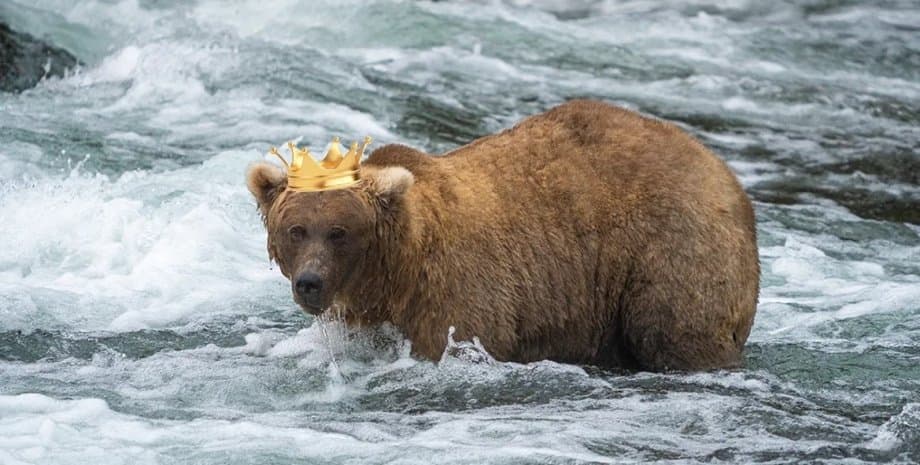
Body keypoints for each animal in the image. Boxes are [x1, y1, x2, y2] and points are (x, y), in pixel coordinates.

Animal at [248, 100, 760, 370]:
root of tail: (723, 170)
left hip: (672, 248)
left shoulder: (457, 294)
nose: (310, 282)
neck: (396, 272)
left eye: (339, 232)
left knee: (674, 330)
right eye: (296, 230)